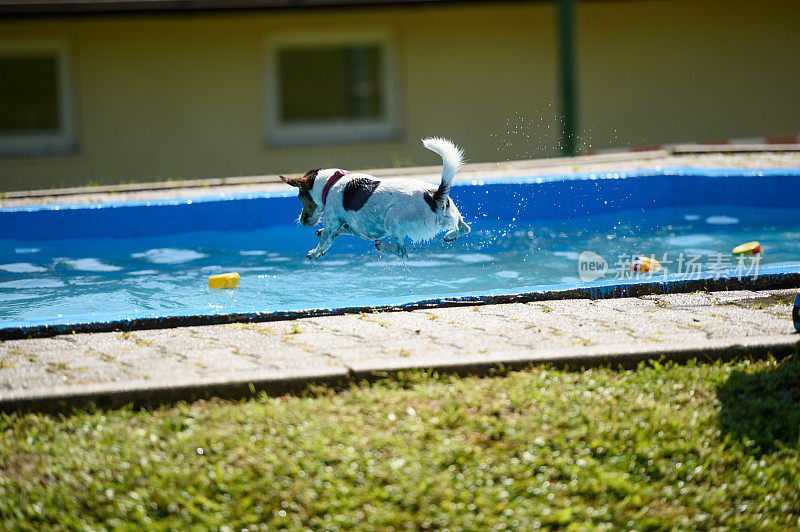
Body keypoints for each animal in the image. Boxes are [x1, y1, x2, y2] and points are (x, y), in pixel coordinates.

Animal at [282, 137, 468, 260]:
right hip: (453, 213)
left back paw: (384, 246)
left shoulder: (333, 221)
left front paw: (315, 252)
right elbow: (343, 230)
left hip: (392, 219)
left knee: (402, 253)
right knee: (464, 228)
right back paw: (451, 235)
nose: (301, 221)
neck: (332, 182)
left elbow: (326, 240)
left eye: (300, 198)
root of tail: (435, 197)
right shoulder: (352, 226)